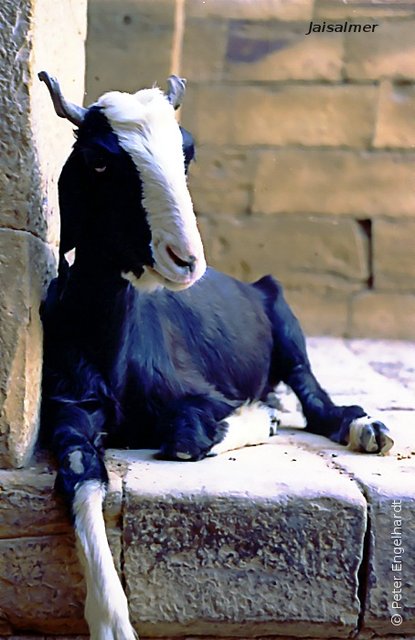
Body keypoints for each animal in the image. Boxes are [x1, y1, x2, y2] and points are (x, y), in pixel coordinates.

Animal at [38, 72, 394, 640]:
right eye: (97, 159)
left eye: (187, 152)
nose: (186, 260)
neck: (113, 349)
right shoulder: (69, 408)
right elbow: (79, 474)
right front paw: (112, 621)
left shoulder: (201, 395)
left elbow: (186, 438)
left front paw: (262, 418)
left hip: (281, 310)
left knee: (311, 390)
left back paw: (361, 426)